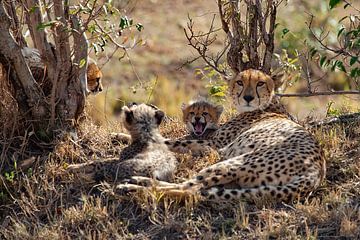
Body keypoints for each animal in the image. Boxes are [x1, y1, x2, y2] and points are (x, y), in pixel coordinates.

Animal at [118, 68, 326, 202]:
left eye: (260, 83)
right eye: (240, 82)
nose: (248, 97)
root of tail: (315, 172)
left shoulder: (213, 146)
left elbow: (171, 141)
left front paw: (123, 136)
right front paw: (120, 136)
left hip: (235, 162)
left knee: (190, 189)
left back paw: (134, 187)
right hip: (243, 182)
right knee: (196, 188)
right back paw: (140, 181)